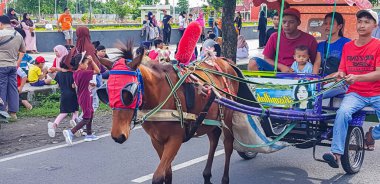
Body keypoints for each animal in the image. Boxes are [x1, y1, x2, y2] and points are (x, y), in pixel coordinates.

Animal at [99, 42, 239, 184]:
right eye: (106, 92)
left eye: (128, 94)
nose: (117, 136)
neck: (160, 95)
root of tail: (225, 61)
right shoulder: (156, 140)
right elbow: (167, 174)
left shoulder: (175, 139)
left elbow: (158, 176)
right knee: (214, 138)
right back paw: (206, 175)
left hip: (228, 116)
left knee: (228, 145)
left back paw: (225, 179)